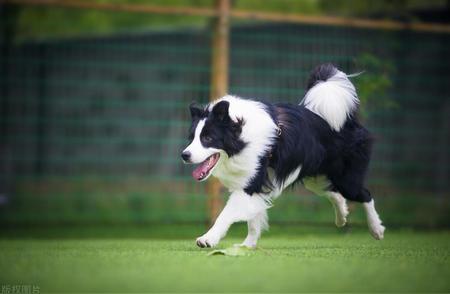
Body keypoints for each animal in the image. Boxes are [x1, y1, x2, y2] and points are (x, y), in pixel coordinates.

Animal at [181, 64, 384, 248]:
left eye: (207, 138)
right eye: (191, 138)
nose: (184, 155)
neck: (241, 134)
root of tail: (348, 120)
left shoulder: (251, 182)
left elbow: (226, 214)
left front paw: (208, 239)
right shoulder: (257, 183)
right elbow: (253, 220)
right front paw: (248, 245)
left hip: (345, 177)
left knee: (364, 193)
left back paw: (376, 229)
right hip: (314, 177)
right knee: (333, 192)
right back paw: (342, 217)